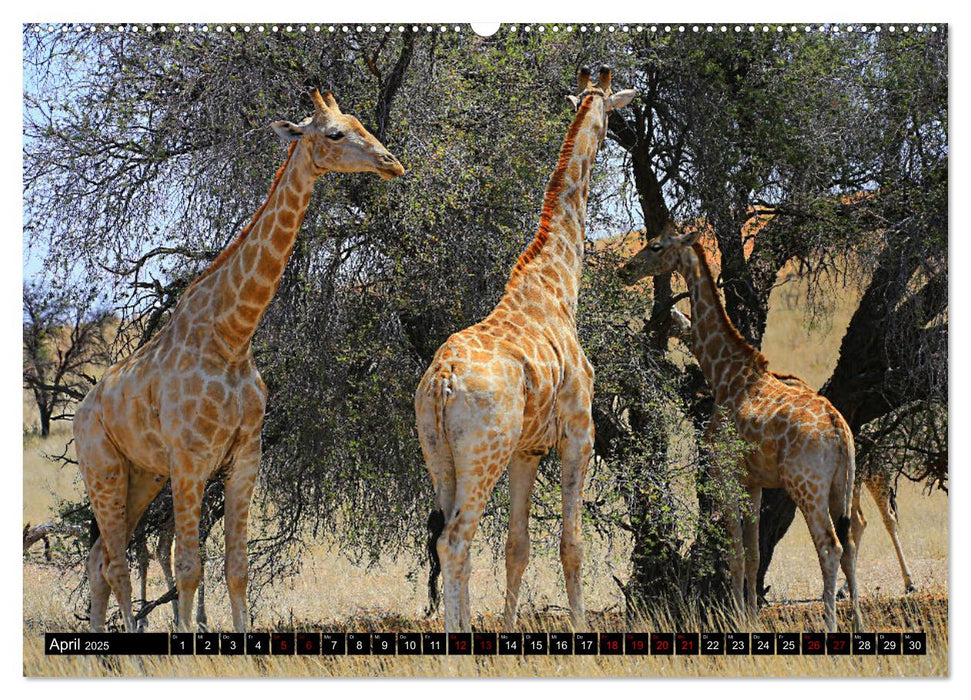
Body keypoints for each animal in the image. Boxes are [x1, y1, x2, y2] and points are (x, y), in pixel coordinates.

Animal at [75, 89, 402, 636]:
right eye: (334, 134)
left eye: (362, 124)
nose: (390, 162)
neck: (231, 336)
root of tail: (80, 411)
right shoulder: (189, 460)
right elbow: (188, 566)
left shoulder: (245, 455)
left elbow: (237, 566)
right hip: (102, 467)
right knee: (116, 562)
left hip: (140, 475)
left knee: (100, 558)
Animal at [416, 67, 636, 636]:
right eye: (612, 112)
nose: (613, 135)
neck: (558, 284)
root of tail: (443, 379)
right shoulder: (580, 433)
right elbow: (571, 543)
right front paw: (579, 629)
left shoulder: (527, 450)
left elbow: (517, 546)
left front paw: (512, 626)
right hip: (482, 453)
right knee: (456, 540)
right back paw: (461, 637)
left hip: (440, 455)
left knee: (451, 540)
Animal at [620, 226, 860, 636]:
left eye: (655, 246)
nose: (626, 269)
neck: (725, 374)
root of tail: (839, 430)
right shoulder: (754, 482)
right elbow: (752, 554)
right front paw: (749, 615)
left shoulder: (725, 474)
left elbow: (733, 554)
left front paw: (735, 617)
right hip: (841, 486)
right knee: (850, 546)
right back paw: (857, 622)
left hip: (806, 485)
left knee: (830, 547)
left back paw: (830, 624)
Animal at [672, 308, 916, 592]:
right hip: (852, 480)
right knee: (858, 522)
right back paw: (847, 587)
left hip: (873, 471)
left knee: (885, 517)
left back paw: (908, 582)